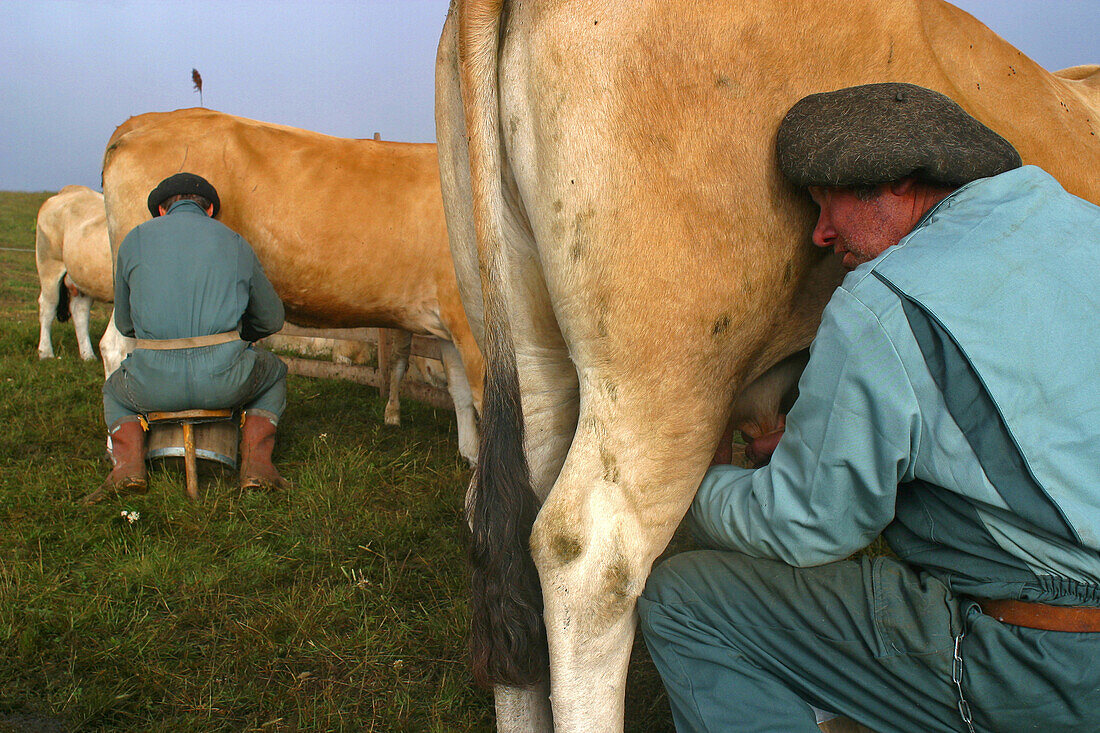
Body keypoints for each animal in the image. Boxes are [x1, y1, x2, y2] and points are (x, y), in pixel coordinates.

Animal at [33, 183, 112, 360]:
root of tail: (72, 190)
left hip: (85, 278)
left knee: (80, 311)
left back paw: (87, 355)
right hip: (49, 265)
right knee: (48, 306)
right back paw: (46, 352)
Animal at [101, 107, 484, 462]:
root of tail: (147, 119)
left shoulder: (448, 319)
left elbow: (461, 393)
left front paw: (471, 454)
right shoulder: (472, 322)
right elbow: (487, 401)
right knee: (116, 348)